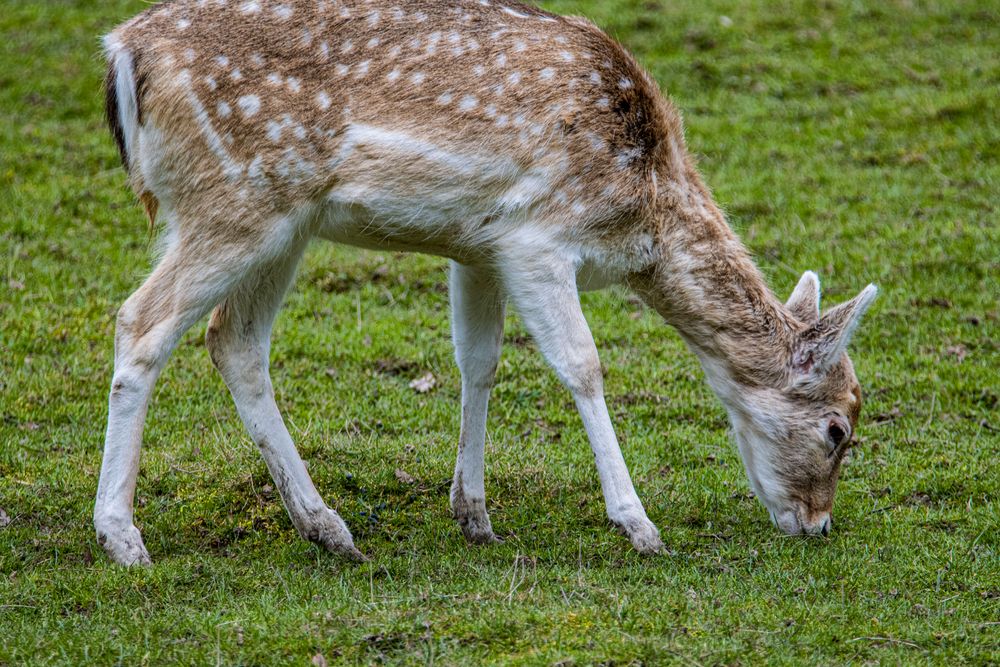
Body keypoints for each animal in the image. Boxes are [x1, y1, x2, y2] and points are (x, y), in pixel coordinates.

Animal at [94, 0, 876, 568]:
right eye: (836, 429)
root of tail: (122, 53)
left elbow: (480, 360)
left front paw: (474, 515)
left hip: (284, 224)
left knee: (235, 342)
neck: (642, 209)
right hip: (233, 202)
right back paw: (123, 538)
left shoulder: (478, 246)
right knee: (141, 320)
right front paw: (639, 526)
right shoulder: (537, 238)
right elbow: (583, 366)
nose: (817, 524)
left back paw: (327, 527)